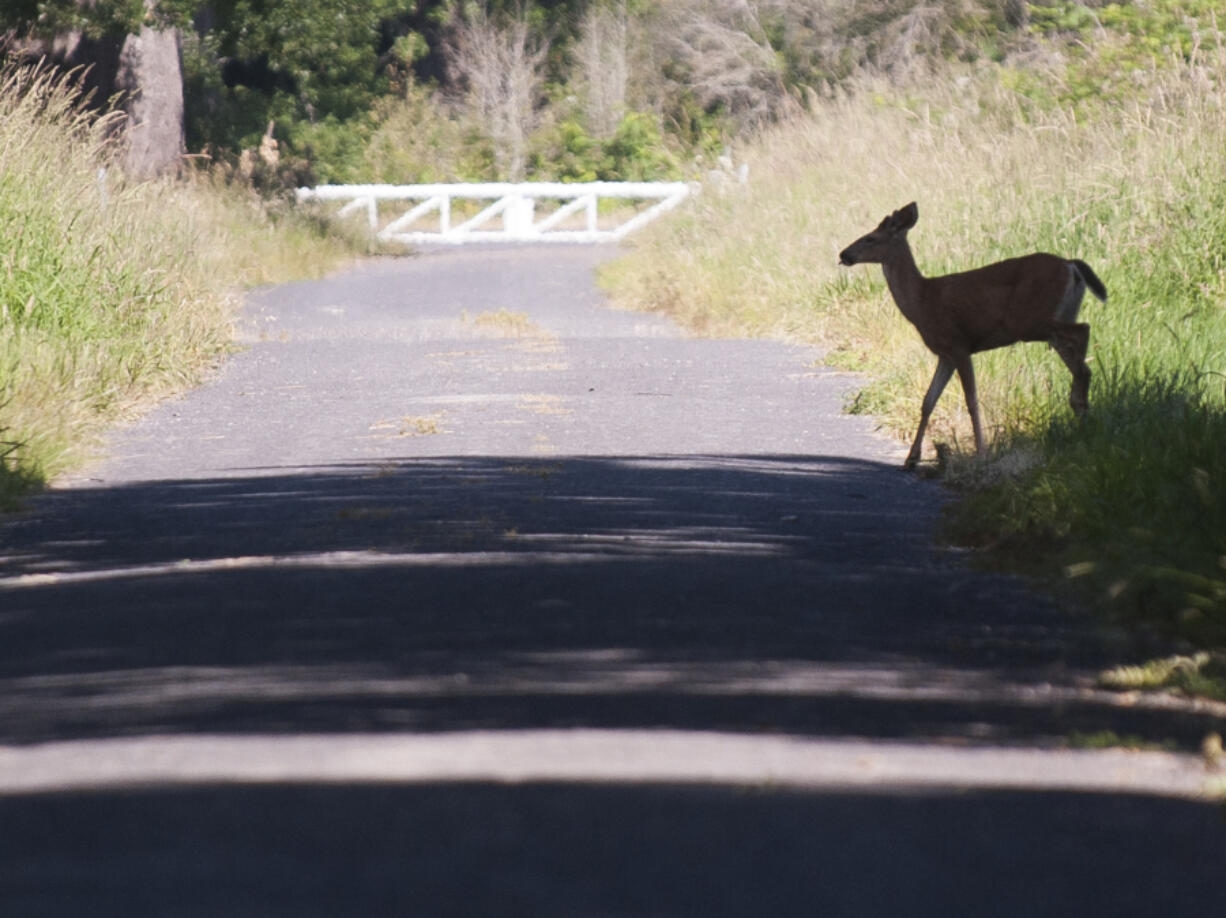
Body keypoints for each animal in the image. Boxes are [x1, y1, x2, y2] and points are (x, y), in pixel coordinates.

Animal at [838, 203, 1108, 468]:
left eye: (870, 238)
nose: (843, 254)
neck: (922, 301)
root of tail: (1070, 264)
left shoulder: (958, 345)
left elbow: (971, 401)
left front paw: (981, 452)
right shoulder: (945, 354)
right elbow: (928, 401)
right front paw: (912, 457)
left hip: (1031, 321)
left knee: (1083, 331)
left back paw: (1080, 400)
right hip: (1054, 318)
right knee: (1076, 344)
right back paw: (1081, 410)